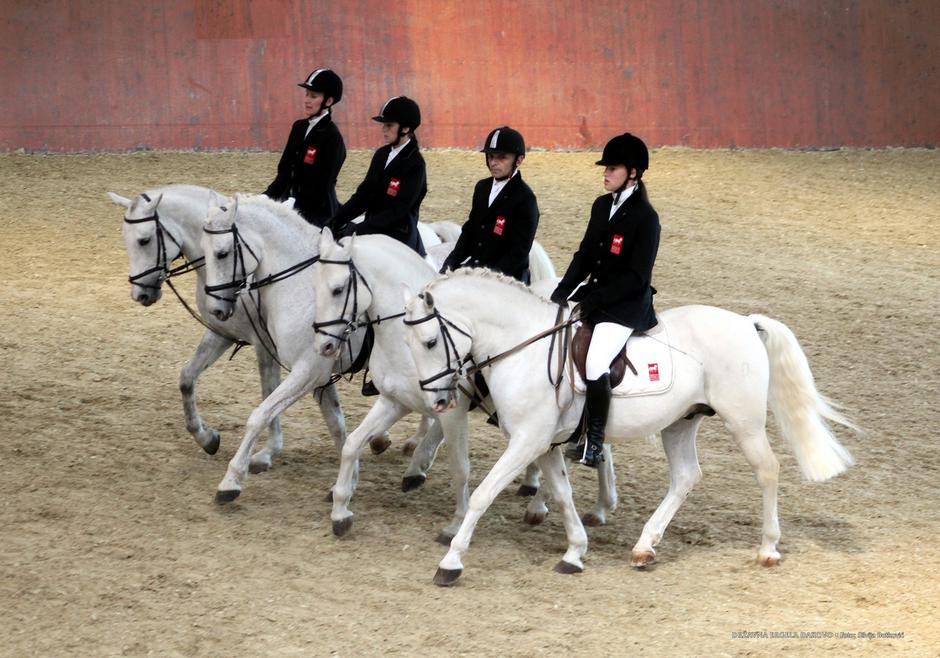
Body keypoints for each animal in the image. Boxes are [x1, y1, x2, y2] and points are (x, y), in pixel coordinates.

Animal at [110, 182, 344, 466]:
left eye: (144, 240)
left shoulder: (265, 346)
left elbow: (268, 392)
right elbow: (187, 378)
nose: (140, 295)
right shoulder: (222, 332)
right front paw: (206, 438)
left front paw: (269, 450)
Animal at [200, 197, 442, 500]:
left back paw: (418, 461)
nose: (216, 309)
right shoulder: (321, 374)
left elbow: (260, 415)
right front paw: (347, 482)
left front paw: (230, 482)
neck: (301, 287)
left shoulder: (308, 371)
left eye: (221, 254)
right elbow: (336, 424)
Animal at [400, 268, 856, 584]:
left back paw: (768, 549)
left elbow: (483, 494)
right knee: (686, 476)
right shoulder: (543, 444)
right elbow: (562, 495)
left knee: (767, 471)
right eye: (411, 346)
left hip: (742, 422)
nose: (438, 401)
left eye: (430, 342)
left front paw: (451, 562)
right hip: (680, 423)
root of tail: (745, 321)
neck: (523, 347)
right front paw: (574, 552)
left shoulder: (527, 441)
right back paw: (643, 547)